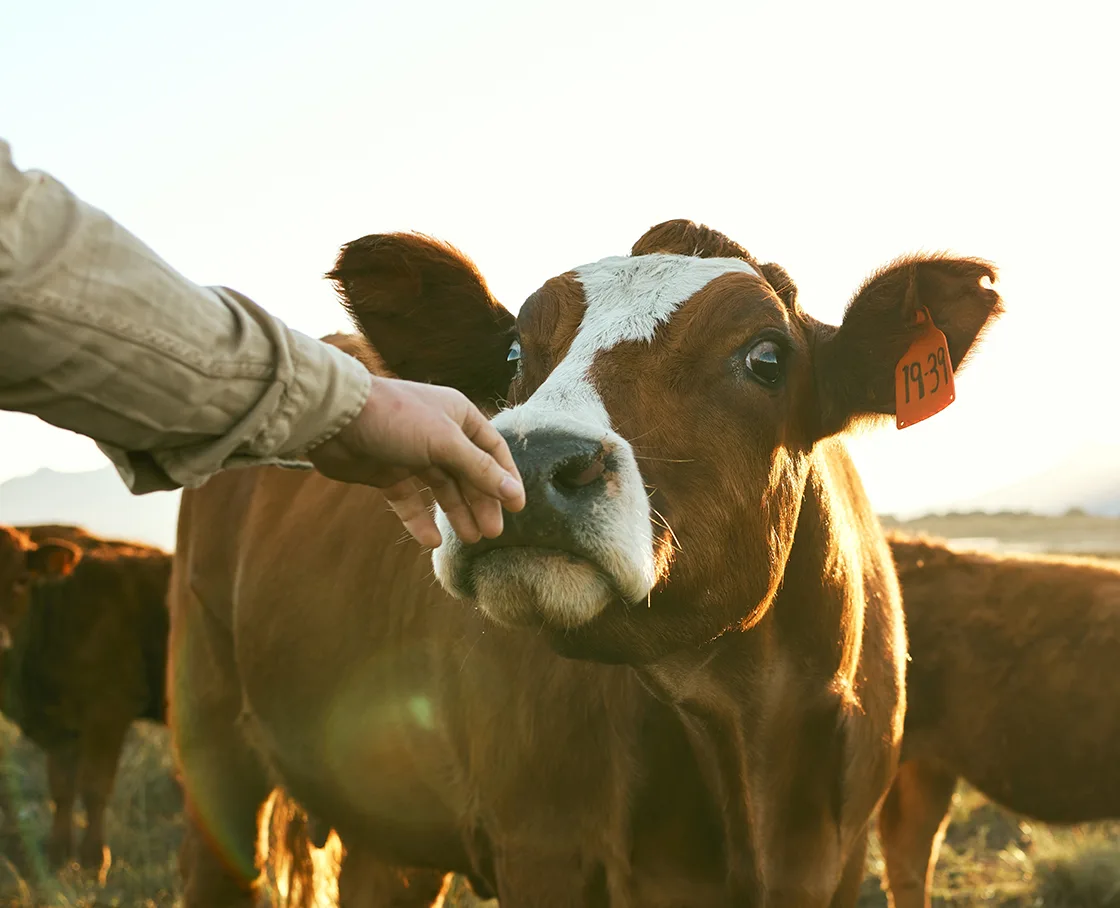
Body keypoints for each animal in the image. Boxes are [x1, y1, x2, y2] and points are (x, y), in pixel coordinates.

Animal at [0, 524, 171, 872]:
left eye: (21, 580)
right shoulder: (62, 726)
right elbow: (62, 789)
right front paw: (57, 859)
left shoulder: (109, 712)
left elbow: (94, 788)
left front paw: (94, 863)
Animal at [169, 218, 1001, 907]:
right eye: (512, 352)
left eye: (767, 356)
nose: (527, 459)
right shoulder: (542, 848)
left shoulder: (842, 857)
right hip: (210, 732)